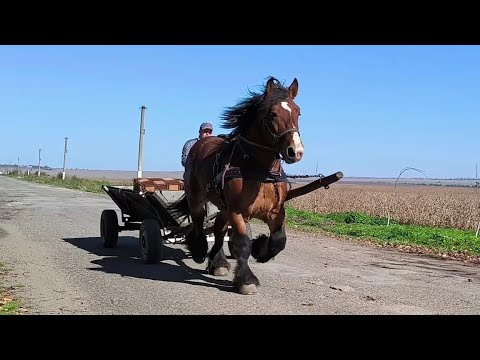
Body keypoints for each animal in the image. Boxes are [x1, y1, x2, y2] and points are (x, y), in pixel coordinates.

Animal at [169, 76, 304, 296]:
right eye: (273, 113)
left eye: (297, 112)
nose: (296, 151)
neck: (260, 171)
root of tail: (202, 142)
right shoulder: (238, 211)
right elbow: (242, 244)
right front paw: (246, 280)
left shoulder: (276, 212)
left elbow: (279, 241)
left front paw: (260, 249)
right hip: (196, 197)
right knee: (198, 222)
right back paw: (199, 250)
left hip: (224, 207)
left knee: (218, 231)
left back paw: (218, 261)